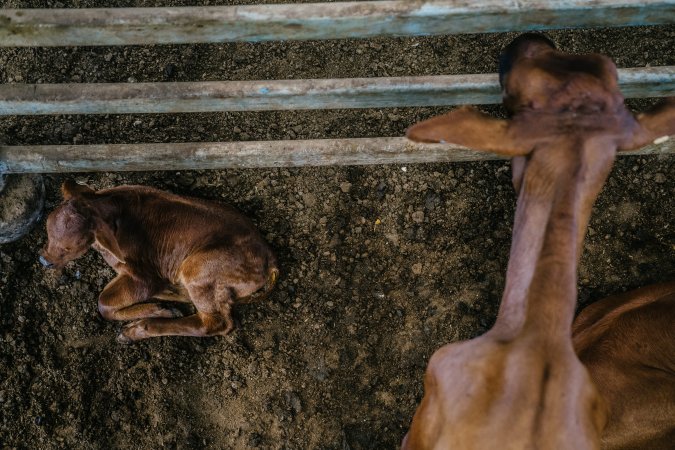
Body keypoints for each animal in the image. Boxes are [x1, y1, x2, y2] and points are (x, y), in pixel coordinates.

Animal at [40, 181, 278, 342]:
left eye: (70, 247)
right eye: (47, 231)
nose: (44, 260)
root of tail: (269, 255)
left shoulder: (143, 277)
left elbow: (103, 304)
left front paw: (158, 310)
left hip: (198, 269)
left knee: (214, 322)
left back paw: (137, 329)